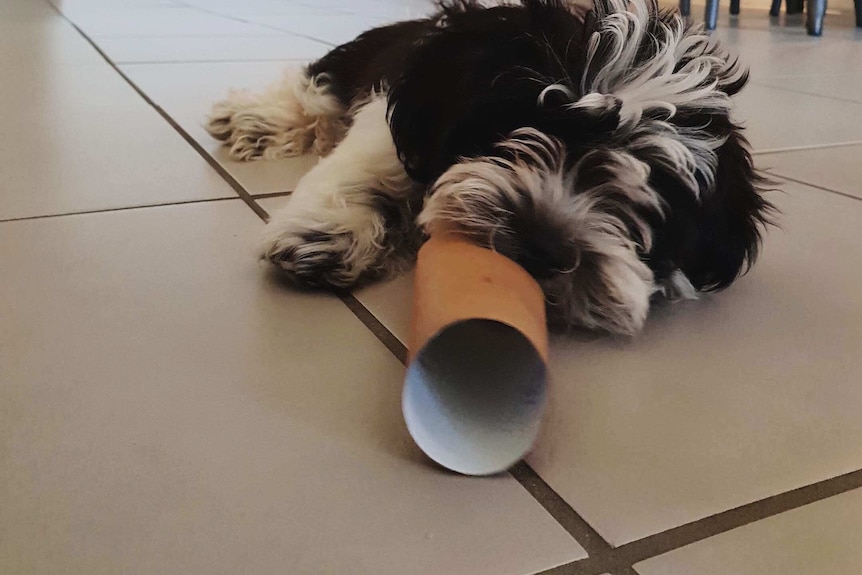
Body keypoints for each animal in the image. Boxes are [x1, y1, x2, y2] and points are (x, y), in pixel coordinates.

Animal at [206, 0, 772, 338]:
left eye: (647, 185)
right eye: (525, 121)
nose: (542, 246)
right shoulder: (396, 118)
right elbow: (364, 164)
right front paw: (324, 231)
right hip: (349, 63)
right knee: (311, 91)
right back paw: (254, 120)